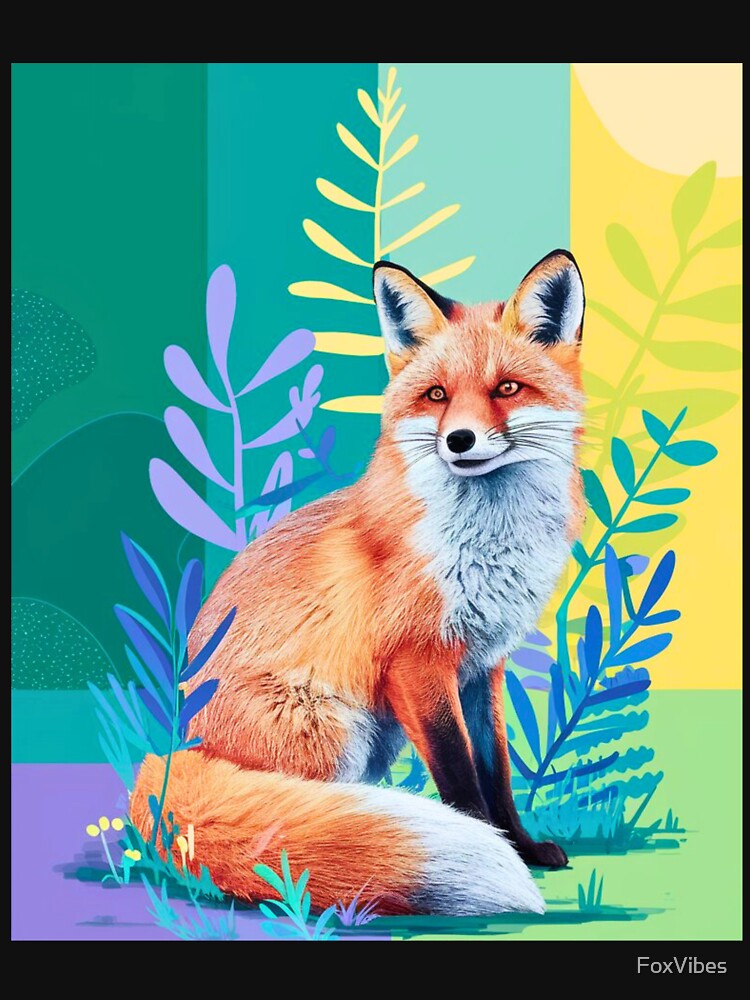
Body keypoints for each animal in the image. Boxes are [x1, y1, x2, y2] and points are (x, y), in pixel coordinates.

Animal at [131, 249, 587, 917]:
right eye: (436, 395)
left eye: (506, 388)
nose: (459, 440)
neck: (487, 545)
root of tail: (176, 746)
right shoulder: (417, 665)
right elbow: (460, 774)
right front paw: (488, 840)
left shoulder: (483, 665)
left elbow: (497, 770)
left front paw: (523, 846)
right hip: (336, 730)